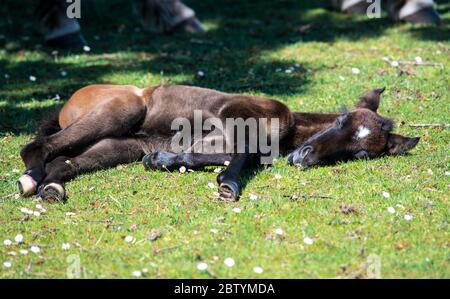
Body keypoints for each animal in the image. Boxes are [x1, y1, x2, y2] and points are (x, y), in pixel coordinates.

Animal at [16, 84, 418, 203]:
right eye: (340, 120)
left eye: (361, 153)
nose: (304, 157)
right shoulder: (233, 114)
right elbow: (241, 154)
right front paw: (228, 185)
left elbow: (225, 154)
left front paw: (163, 159)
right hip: (121, 111)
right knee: (35, 148)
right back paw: (30, 178)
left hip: (118, 145)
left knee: (63, 162)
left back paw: (49, 187)